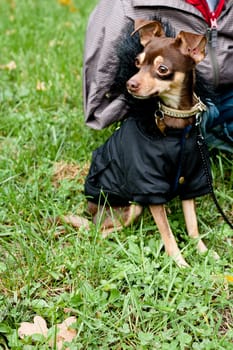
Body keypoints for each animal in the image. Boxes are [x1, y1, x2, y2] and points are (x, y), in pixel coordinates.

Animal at [66, 19, 220, 266]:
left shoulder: (191, 178)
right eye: (137, 63)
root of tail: (90, 210)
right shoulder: (150, 186)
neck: (176, 126)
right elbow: (167, 233)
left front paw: (204, 252)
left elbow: (193, 225)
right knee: (99, 232)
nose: (130, 84)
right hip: (131, 207)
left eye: (162, 69)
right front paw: (180, 263)